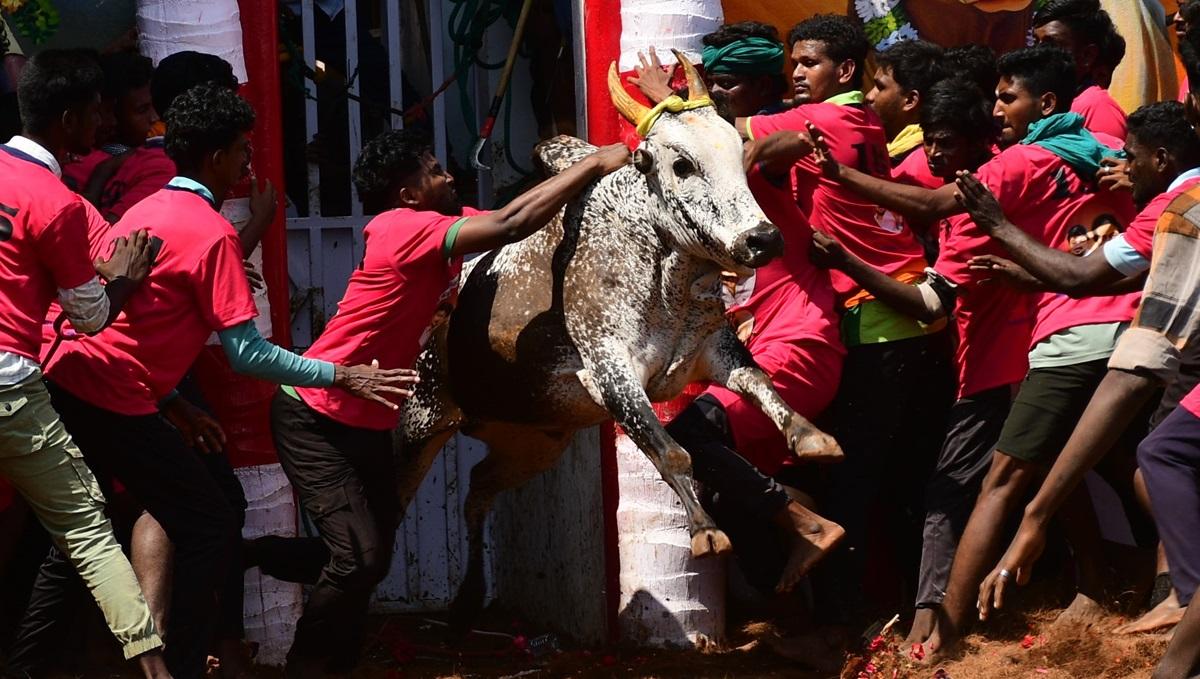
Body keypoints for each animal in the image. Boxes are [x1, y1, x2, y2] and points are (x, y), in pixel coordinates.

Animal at [396, 50, 844, 628]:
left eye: (738, 151)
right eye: (681, 164)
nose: (762, 240)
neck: (662, 271)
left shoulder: (714, 349)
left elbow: (762, 384)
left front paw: (812, 438)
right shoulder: (611, 372)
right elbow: (672, 452)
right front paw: (706, 532)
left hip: (532, 444)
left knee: (477, 490)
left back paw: (469, 599)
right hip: (423, 421)